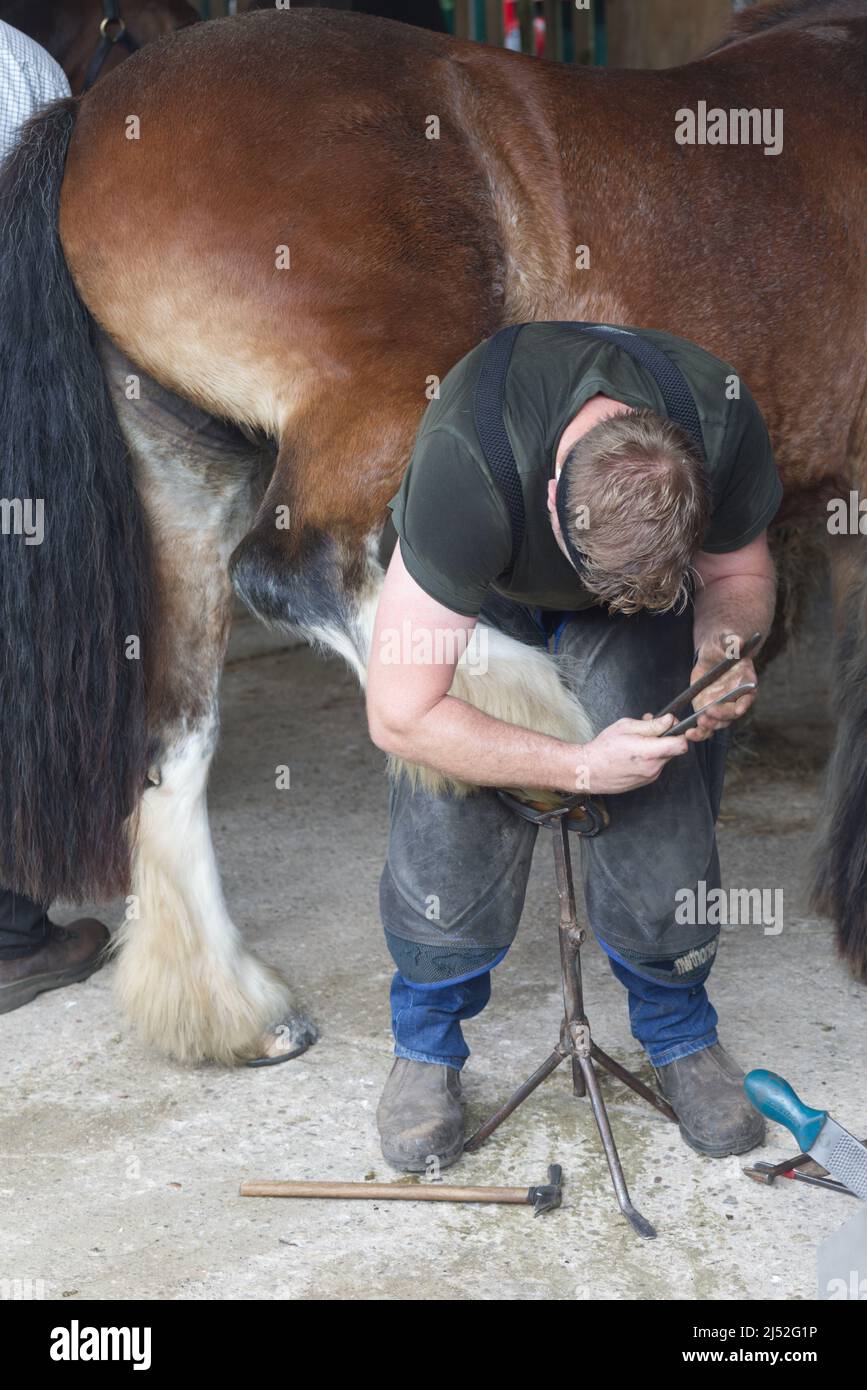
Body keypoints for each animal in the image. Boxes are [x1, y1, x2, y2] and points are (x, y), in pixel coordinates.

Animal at [0, 0, 861, 1061]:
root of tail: (90, 120)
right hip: (379, 402)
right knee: (298, 573)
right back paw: (535, 724)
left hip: (190, 478)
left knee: (178, 719)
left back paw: (228, 1004)